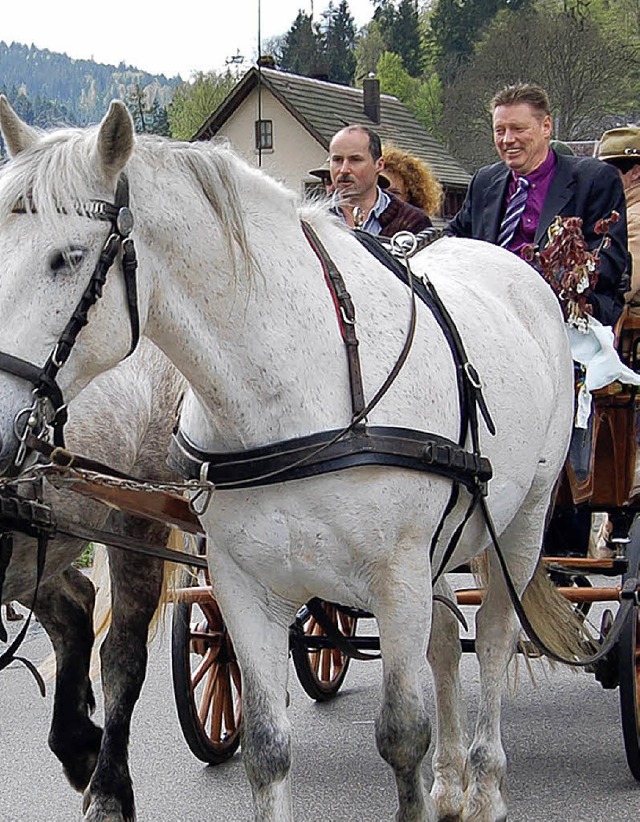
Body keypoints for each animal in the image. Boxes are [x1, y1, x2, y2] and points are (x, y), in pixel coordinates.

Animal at [0, 101, 576, 822]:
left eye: (68, 257)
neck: (294, 388)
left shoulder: (398, 580)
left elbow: (403, 734)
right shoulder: (247, 586)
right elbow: (267, 748)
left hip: (519, 527)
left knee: (494, 638)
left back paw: (486, 785)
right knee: (447, 639)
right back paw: (449, 783)